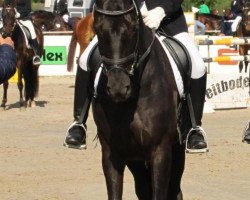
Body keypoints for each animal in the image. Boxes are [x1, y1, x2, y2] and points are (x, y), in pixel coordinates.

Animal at [91, 0, 185, 198]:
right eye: (98, 30)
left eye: (133, 28)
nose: (118, 88)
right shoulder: (112, 153)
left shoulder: (160, 151)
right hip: (136, 161)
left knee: (175, 189)